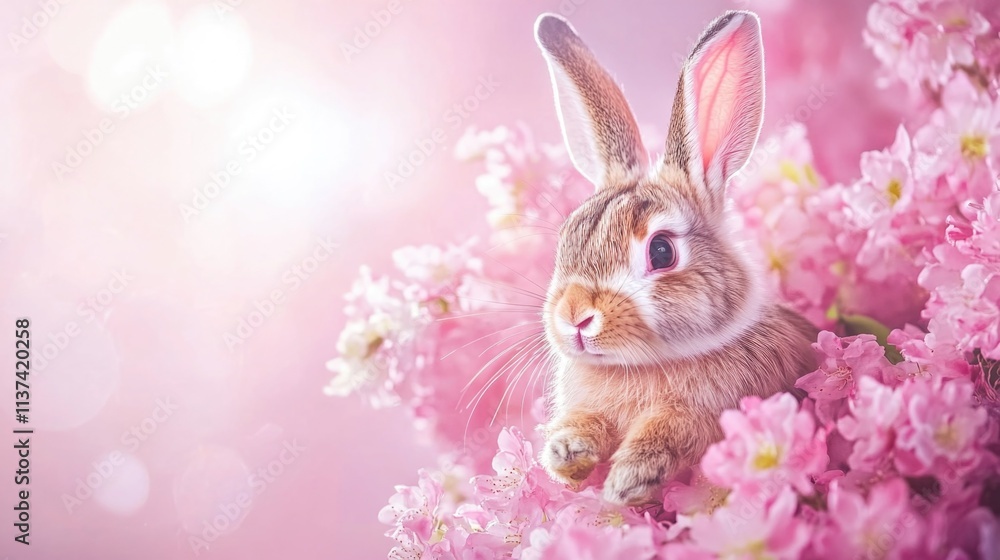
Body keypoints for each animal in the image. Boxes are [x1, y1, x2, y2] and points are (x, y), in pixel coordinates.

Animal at [533, 10, 819, 505]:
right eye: (567, 237)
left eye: (661, 251)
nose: (574, 317)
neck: (639, 366)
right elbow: (588, 423)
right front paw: (567, 452)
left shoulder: (718, 411)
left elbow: (677, 428)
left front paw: (628, 478)